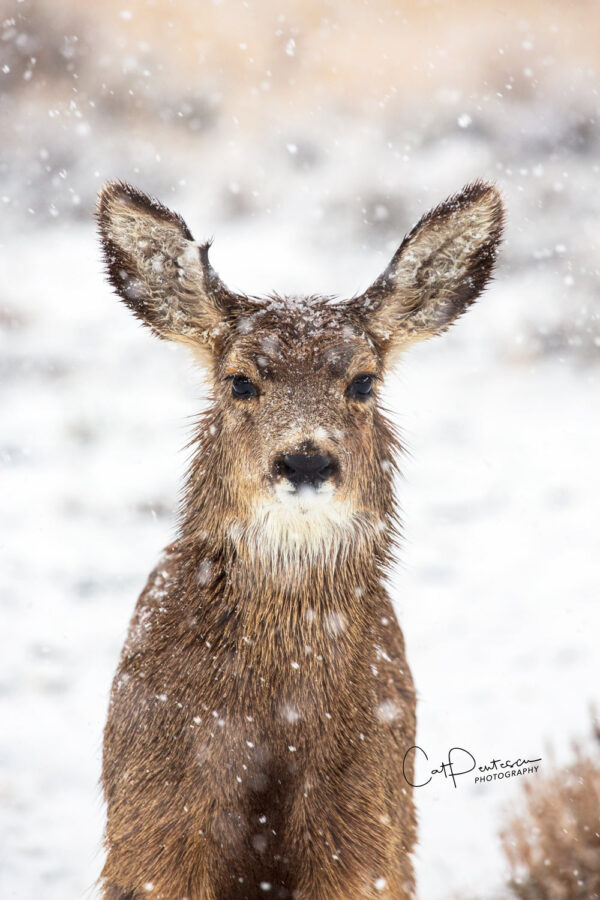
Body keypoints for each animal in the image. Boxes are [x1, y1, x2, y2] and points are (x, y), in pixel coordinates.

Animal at [98, 178, 506, 900]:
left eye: (363, 381)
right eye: (240, 381)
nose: (307, 460)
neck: (276, 717)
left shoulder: (368, 821)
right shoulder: (152, 816)